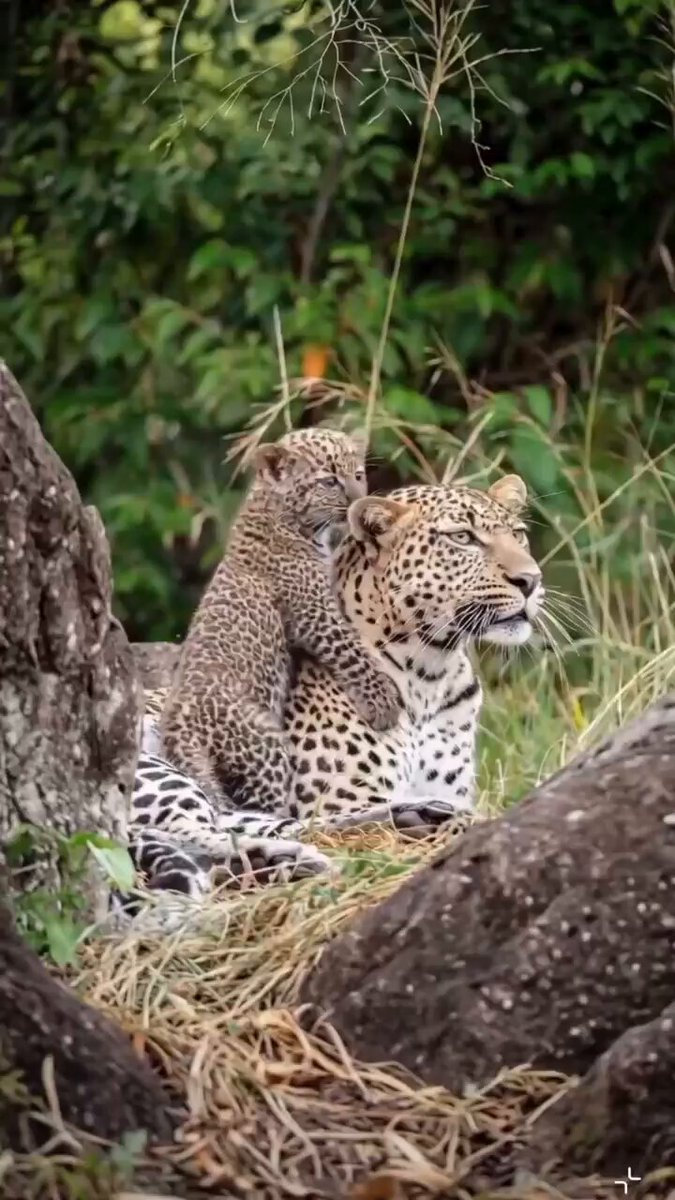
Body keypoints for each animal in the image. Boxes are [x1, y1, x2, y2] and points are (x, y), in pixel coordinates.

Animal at [122, 471, 544, 915]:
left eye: (518, 534)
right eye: (462, 538)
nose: (531, 581)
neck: (430, 672)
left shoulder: (452, 787)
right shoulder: (340, 794)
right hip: (151, 767)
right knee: (212, 828)